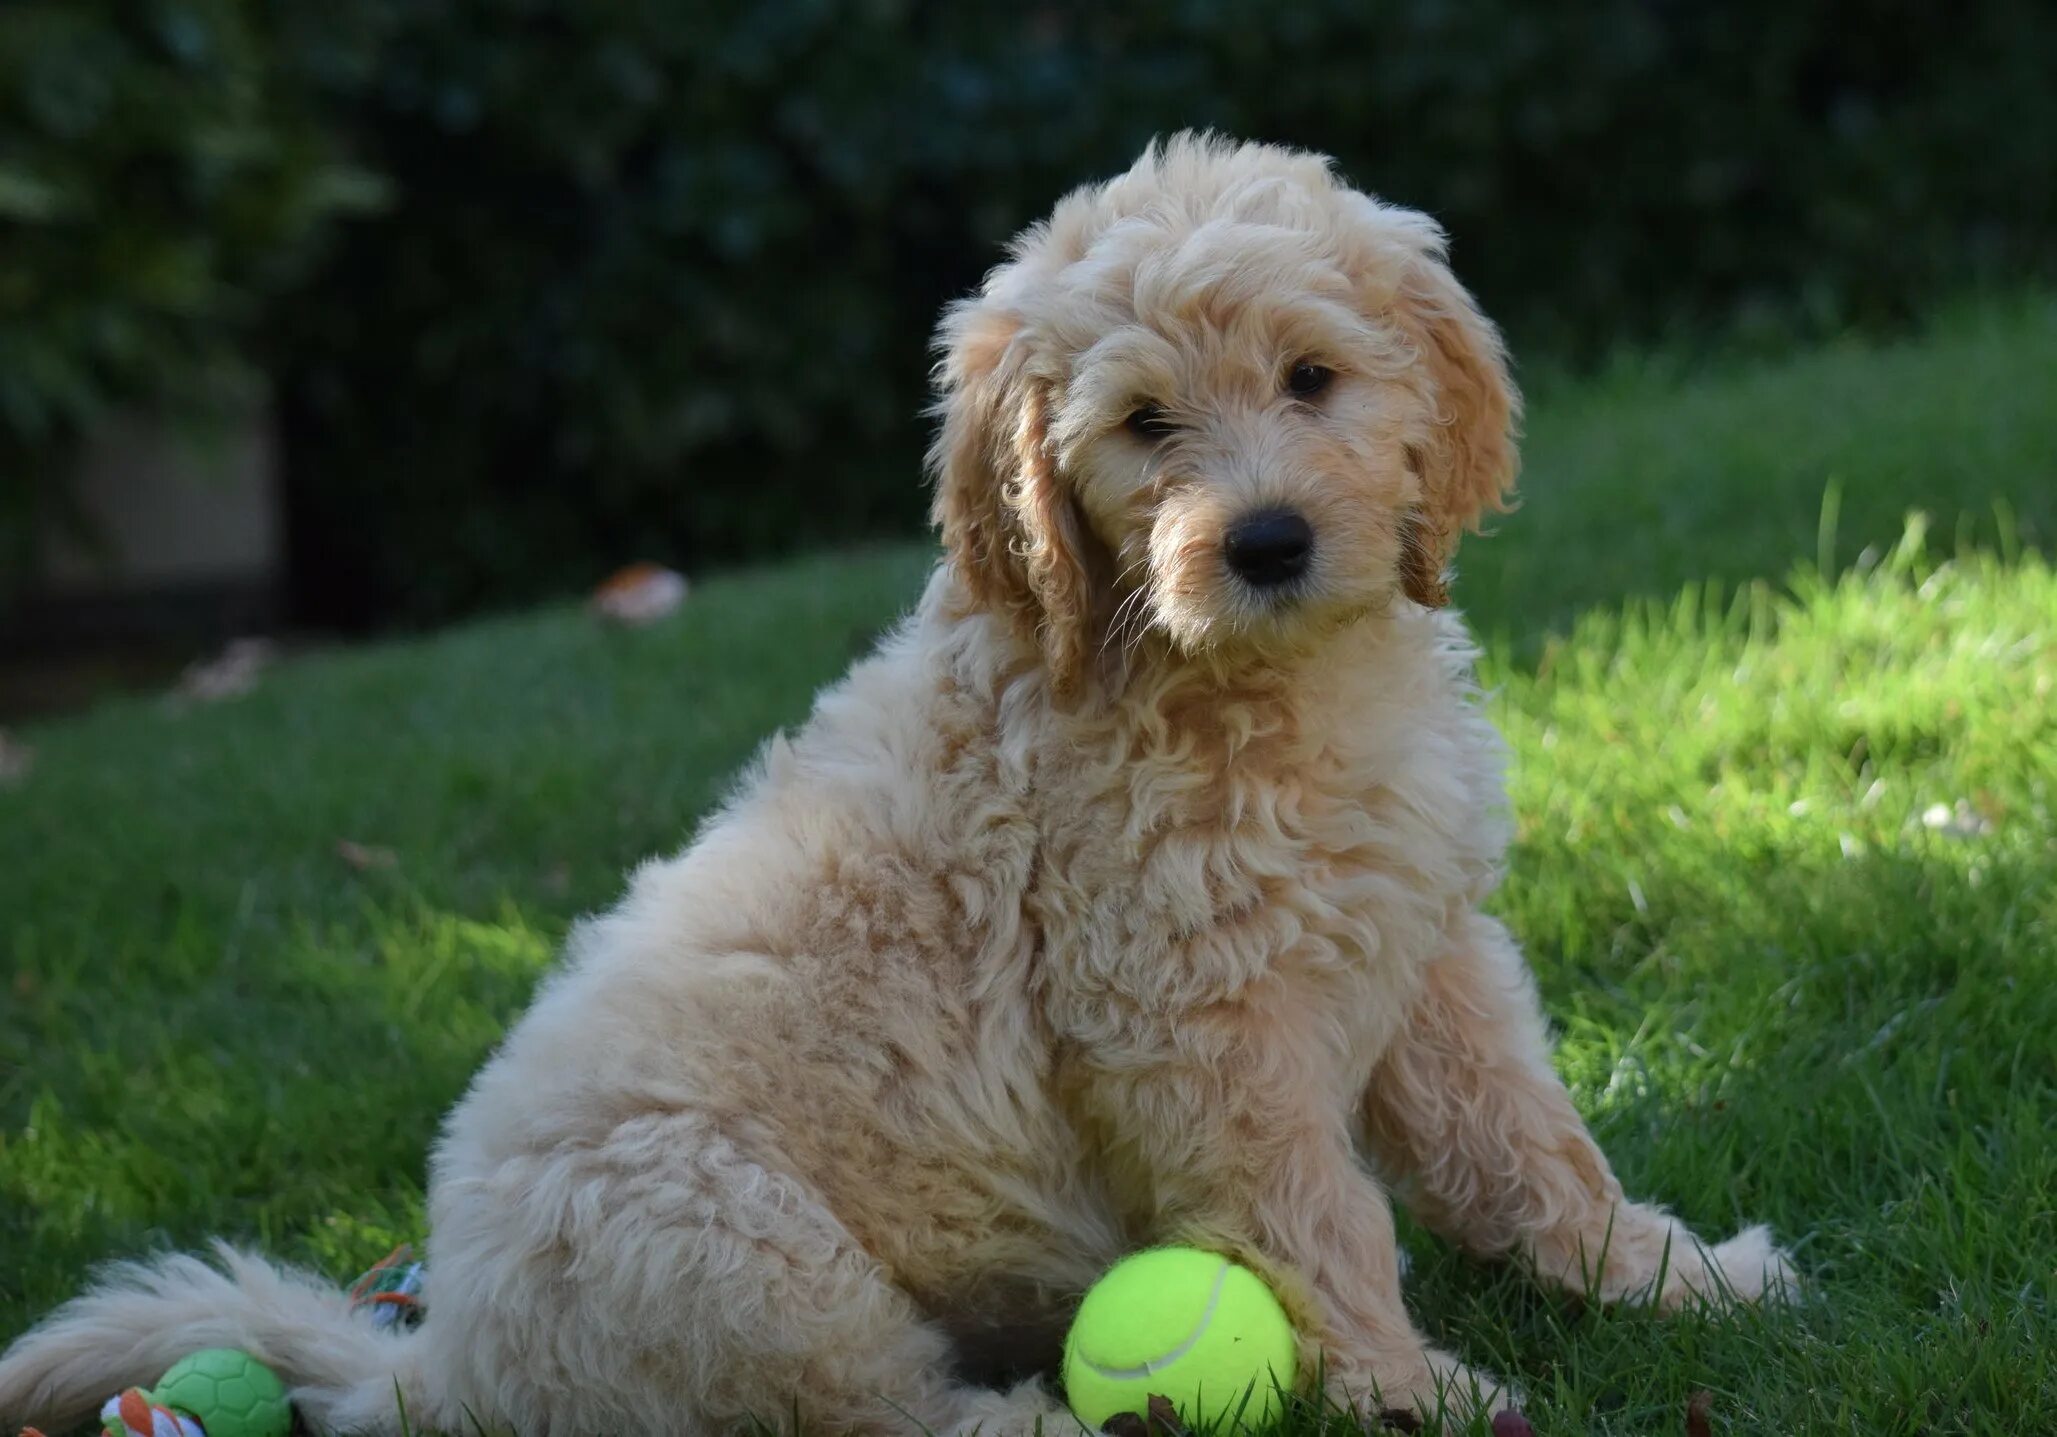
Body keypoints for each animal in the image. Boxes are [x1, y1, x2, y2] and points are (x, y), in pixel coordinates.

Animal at [0, 134, 1785, 1437]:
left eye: (1311, 379)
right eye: (1144, 424)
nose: (1267, 544)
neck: (1250, 683)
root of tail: (446, 1364)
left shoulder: (1426, 943)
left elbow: (1527, 1137)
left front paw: (1666, 1278)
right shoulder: (1195, 1029)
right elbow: (1314, 1219)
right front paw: (1413, 1396)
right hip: (730, 1247)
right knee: (872, 1413)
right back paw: (1044, 1422)